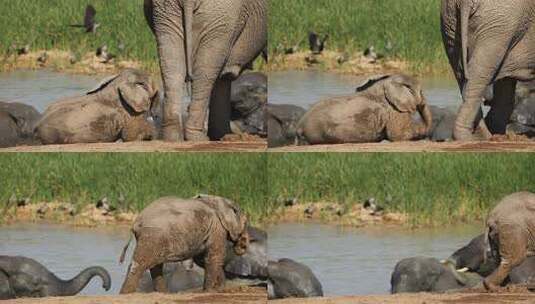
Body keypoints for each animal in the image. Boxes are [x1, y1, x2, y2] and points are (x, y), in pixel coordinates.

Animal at [119, 195, 249, 294]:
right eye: (246, 222)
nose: (242, 244)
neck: (218, 200)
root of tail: (136, 222)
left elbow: (203, 259)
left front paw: (219, 289)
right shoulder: (217, 228)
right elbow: (214, 257)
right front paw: (210, 291)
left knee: (154, 266)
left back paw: (163, 293)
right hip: (152, 235)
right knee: (140, 264)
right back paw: (126, 294)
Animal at [144, 0, 268, 141]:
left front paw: (222, 135)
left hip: (167, 13)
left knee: (173, 66)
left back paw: (173, 138)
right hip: (221, 16)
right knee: (205, 72)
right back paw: (198, 138)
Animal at [440, 0, 535, 140]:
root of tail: (463, 2)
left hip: (449, 21)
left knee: (462, 73)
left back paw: (487, 136)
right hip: (498, 25)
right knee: (479, 73)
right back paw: (468, 138)